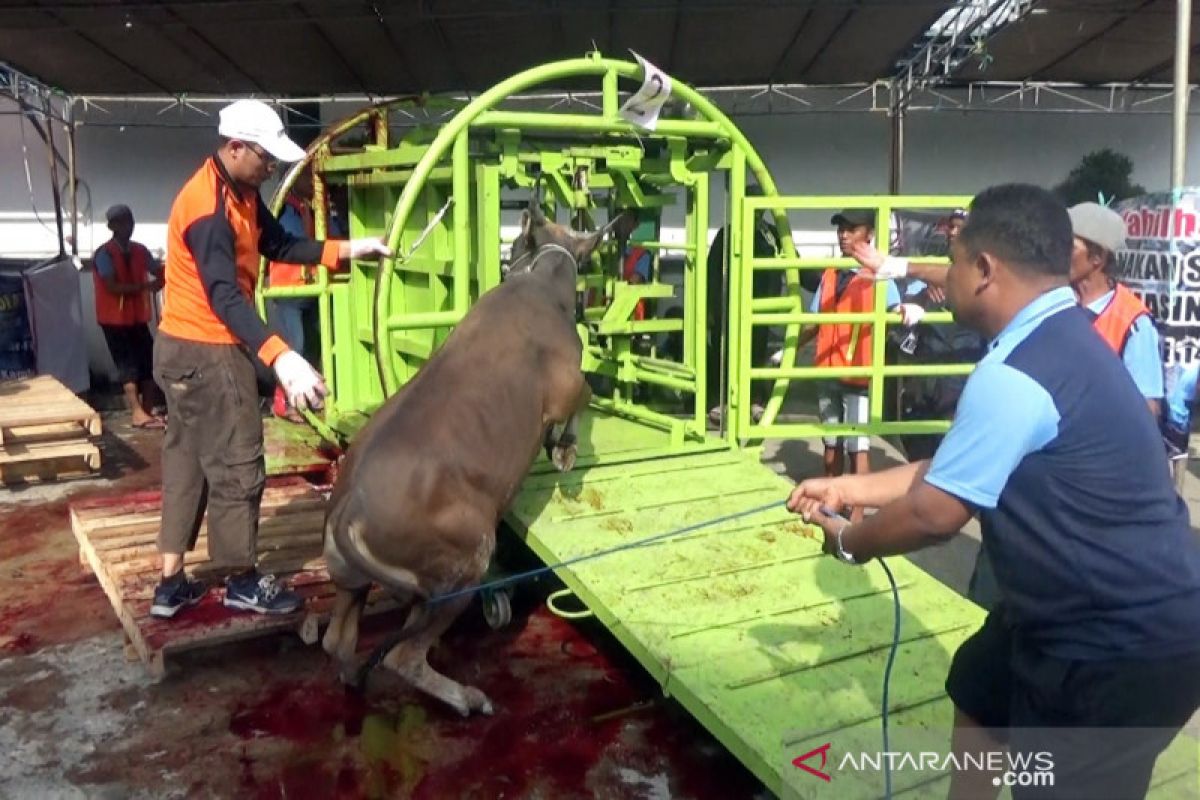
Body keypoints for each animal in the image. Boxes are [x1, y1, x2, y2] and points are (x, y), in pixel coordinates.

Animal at [321, 203, 609, 714]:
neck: (537, 281)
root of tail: (350, 507)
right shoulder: (565, 386)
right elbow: (586, 395)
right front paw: (565, 453)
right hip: (464, 563)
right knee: (403, 656)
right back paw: (468, 699)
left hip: (351, 580)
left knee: (339, 639)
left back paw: (353, 675)